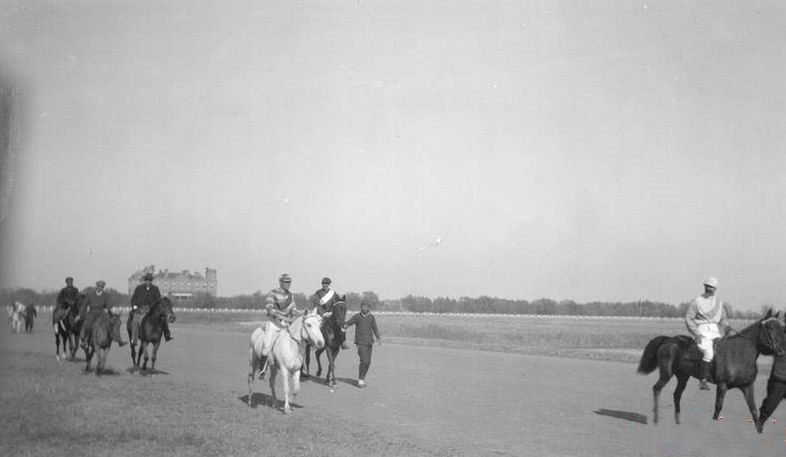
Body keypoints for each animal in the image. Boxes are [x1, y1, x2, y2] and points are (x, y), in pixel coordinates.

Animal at [636, 308, 784, 426]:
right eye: (770, 327)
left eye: (781, 327)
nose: (782, 349)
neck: (739, 353)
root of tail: (669, 340)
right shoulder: (722, 385)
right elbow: (718, 407)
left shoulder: (747, 386)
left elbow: (753, 409)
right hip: (666, 374)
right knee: (656, 389)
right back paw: (656, 419)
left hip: (683, 377)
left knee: (677, 394)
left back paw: (678, 420)